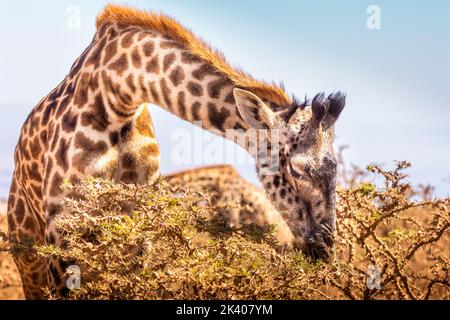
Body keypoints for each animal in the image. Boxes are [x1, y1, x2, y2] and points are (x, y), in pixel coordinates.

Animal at [6, 4, 344, 300]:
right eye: (298, 168)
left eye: (336, 168)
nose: (326, 250)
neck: (118, 97)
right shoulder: (61, 229)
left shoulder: (141, 227)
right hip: (28, 249)